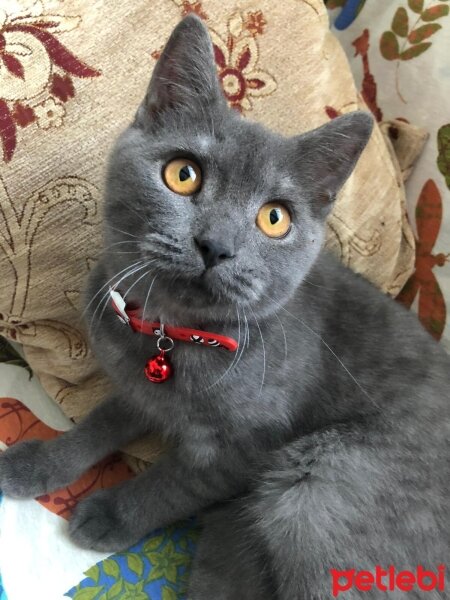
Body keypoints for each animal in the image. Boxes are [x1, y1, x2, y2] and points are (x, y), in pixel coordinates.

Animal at [1, 14, 448, 600]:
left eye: (275, 218)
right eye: (183, 173)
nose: (215, 245)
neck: (174, 333)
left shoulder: (250, 445)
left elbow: (177, 480)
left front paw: (112, 515)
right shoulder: (141, 384)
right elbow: (105, 418)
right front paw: (42, 462)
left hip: (318, 488)